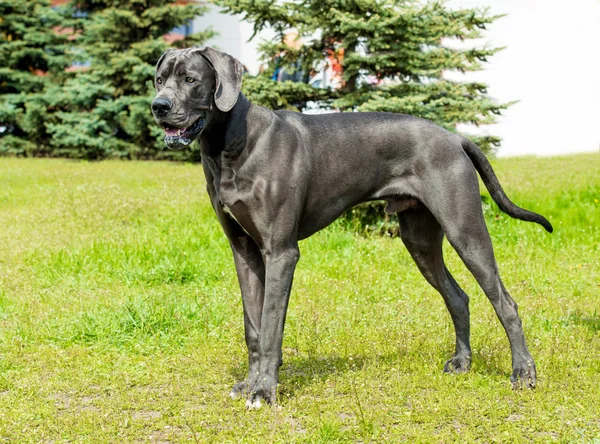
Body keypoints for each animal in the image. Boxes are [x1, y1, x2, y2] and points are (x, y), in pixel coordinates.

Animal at [151, 46, 552, 408]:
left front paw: (264, 391)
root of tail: (455, 137)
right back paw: (462, 362)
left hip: (465, 230)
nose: (158, 106)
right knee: (458, 297)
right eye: (159, 79)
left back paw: (523, 373)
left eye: (190, 79)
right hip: (419, 239)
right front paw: (250, 384)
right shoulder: (244, 252)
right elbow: (253, 327)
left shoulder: (281, 253)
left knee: (505, 302)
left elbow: (270, 330)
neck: (232, 143)